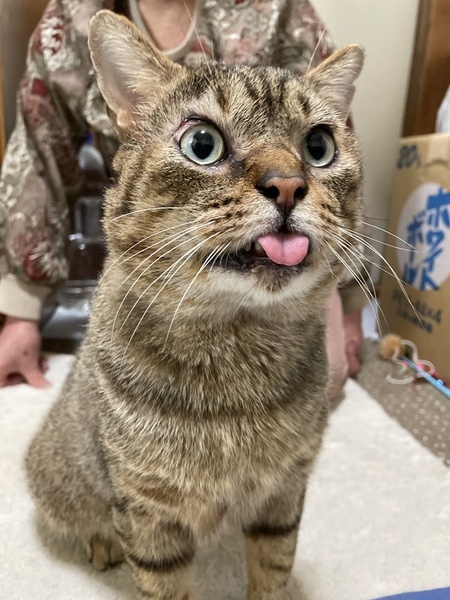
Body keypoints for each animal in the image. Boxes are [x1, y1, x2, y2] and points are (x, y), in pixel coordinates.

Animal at [25, 10, 364, 600]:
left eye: (319, 147)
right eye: (202, 143)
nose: (287, 185)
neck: (237, 349)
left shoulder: (284, 493)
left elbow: (273, 570)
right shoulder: (149, 513)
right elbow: (162, 582)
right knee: (89, 518)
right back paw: (102, 544)